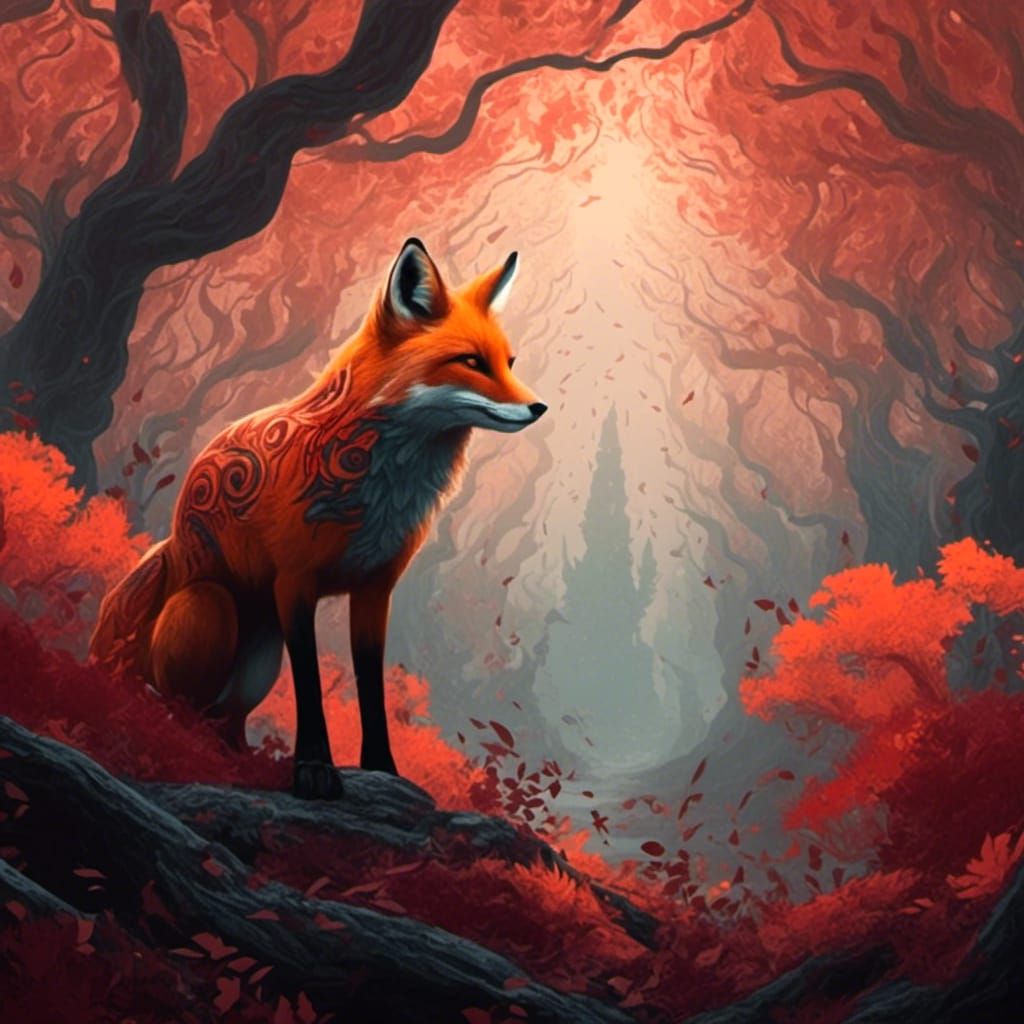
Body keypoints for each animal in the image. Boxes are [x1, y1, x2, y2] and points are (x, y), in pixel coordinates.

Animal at [90, 238, 546, 799]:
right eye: (470, 362)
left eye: (508, 362)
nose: (539, 407)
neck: (377, 490)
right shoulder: (294, 584)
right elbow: (309, 684)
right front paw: (312, 768)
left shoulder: (375, 589)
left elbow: (371, 690)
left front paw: (382, 769)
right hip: (209, 607)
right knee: (178, 708)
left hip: (258, 660)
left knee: (222, 720)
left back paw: (239, 758)